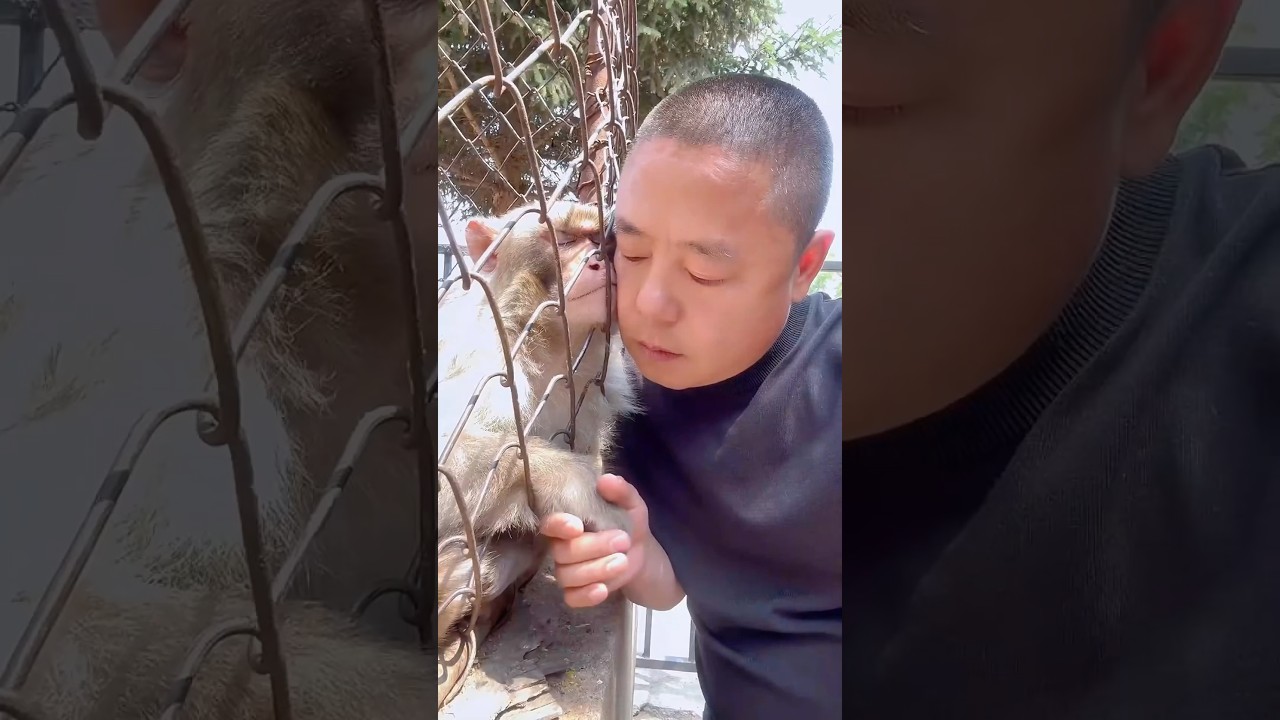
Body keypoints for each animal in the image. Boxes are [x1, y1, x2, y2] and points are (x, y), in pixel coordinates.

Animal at [434, 200, 641, 688]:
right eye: (561, 240)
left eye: (599, 241)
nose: (599, 260)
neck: (547, 345)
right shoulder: (481, 356)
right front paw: (574, 485)